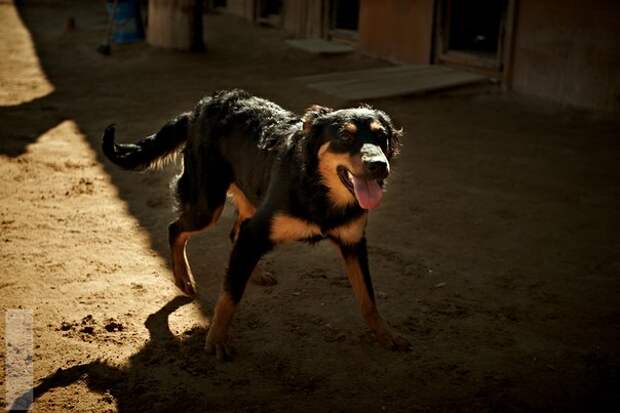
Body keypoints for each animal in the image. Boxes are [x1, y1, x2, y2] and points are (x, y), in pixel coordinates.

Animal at [102, 89, 412, 358]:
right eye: (345, 137)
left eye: (381, 137)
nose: (379, 165)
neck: (317, 189)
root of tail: (200, 107)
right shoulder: (256, 232)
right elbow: (230, 295)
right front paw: (216, 340)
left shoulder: (354, 243)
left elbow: (368, 299)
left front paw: (387, 335)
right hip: (208, 204)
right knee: (176, 229)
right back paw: (184, 278)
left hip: (247, 197)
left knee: (232, 234)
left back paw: (255, 272)